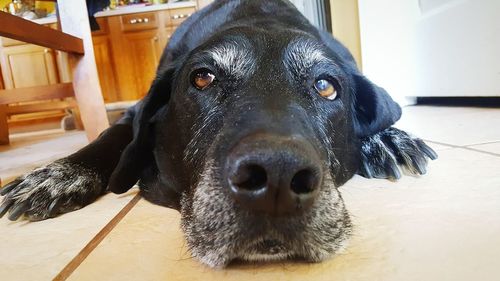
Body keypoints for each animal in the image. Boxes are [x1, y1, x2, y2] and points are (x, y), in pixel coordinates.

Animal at [0, 0, 436, 266]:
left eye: (326, 86)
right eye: (203, 78)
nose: (276, 176)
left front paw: (388, 138)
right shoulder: (133, 112)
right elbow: (109, 137)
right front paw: (57, 175)